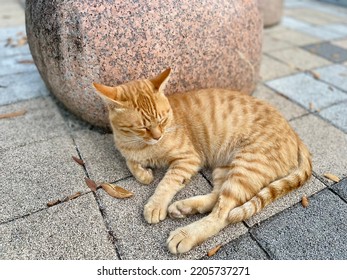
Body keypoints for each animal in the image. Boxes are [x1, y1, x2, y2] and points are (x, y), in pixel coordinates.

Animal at [92, 68, 312, 254]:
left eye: (162, 119)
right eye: (142, 127)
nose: (157, 136)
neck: (140, 145)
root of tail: (295, 132)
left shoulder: (188, 159)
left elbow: (167, 183)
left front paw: (155, 204)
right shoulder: (130, 152)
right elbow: (131, 163)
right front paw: (144, 174)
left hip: (247, 165)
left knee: (223, 213)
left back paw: (186, 234)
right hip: (226, 165)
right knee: (218, 197)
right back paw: (184, 208)